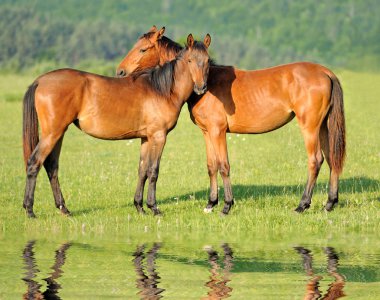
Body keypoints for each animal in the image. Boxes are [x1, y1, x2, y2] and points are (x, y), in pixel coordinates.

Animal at [22, 34, 211, 218]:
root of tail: (40, 81)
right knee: (34, 163)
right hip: (52, 134)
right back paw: (30, 210)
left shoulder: (146, 138)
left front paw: (140, 207)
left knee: (52, 166)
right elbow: (153, 171)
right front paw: (154, 208)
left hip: (58, 134)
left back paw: (64, 209)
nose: (201, 88)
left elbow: (142, 170)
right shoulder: (159, 136)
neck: (162, 90)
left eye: (208, 60)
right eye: (190, 60)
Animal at [117, 25, 346, 213]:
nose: (120, 71)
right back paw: (329, 203)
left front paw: (227, 205)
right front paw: (211, 203)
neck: (208, 83)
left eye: (143, 49)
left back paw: (302, 205)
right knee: (332, 159)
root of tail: (326, 72)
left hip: (310, 127)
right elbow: (211, 165)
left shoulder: (218, 131)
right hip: (323, 127)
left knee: (315, 160)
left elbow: (223, 165)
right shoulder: (207, 132)